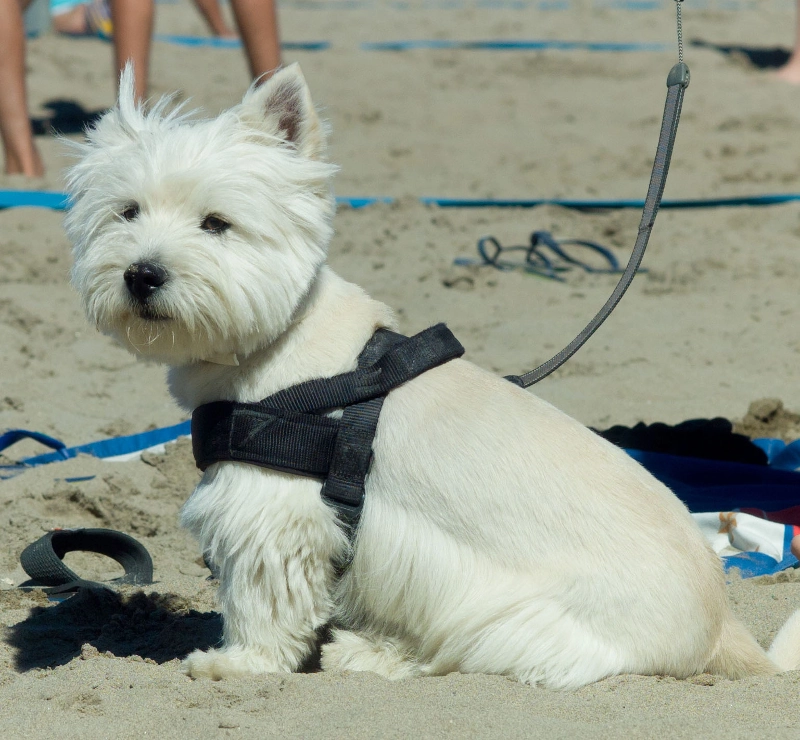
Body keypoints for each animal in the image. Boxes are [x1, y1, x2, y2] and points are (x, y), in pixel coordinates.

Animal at [65, 63, 800, 688]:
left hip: (509, 615)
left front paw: (237, 663)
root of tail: (722, 627)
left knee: (453, 654)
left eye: (217, 223)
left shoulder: (271, 512)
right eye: (127, 211)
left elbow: (263, 598)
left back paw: (363, 652)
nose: (142, 274)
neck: (276, 344)